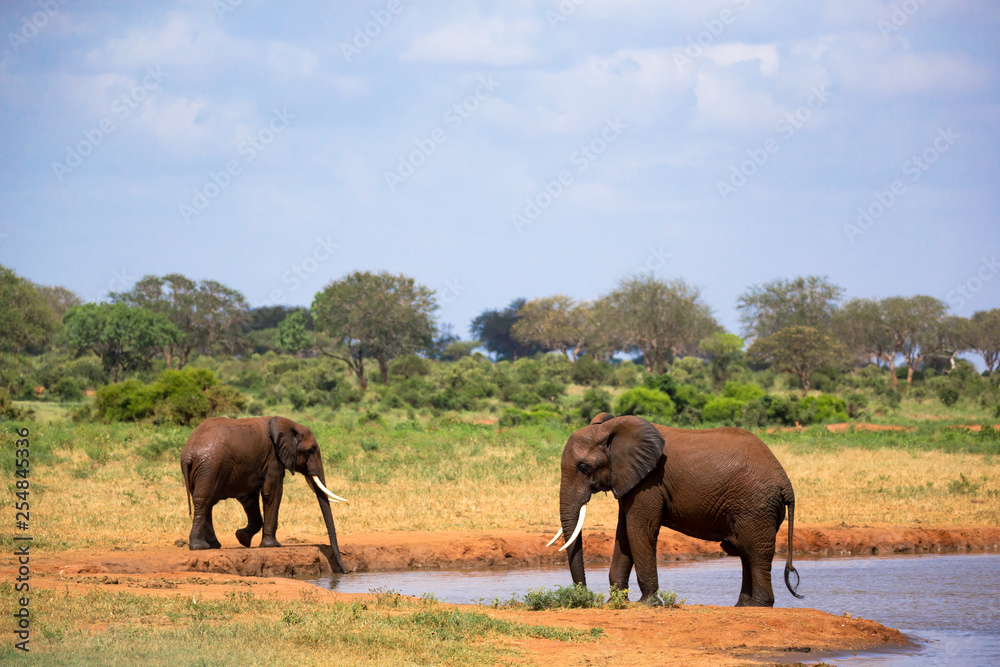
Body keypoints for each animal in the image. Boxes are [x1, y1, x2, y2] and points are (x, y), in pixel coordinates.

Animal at [182, 414, 350, 572]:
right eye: (311, 450)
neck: (289, 425)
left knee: (206, 503)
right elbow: (273, 493)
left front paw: (242, 538)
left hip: (205, 470)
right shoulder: (273, 459)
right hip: (210, 467)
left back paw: (213, 545)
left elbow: (249, 498)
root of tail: (188, 454)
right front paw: (273, 545)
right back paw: (199, 547)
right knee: (204, 501)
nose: (344, 571)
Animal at [548, 410, 804, 608]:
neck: (611, 430)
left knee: (755, 552)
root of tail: (786, 483)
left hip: (755, 505)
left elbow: (639, 530)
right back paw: (742, 606)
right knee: (745, 552)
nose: (585, 598)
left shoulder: (649, 481)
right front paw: (615, 603)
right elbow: (624, 533)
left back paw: (758, 606)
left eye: (583, 467)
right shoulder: (630, 480)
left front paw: (648, 604)